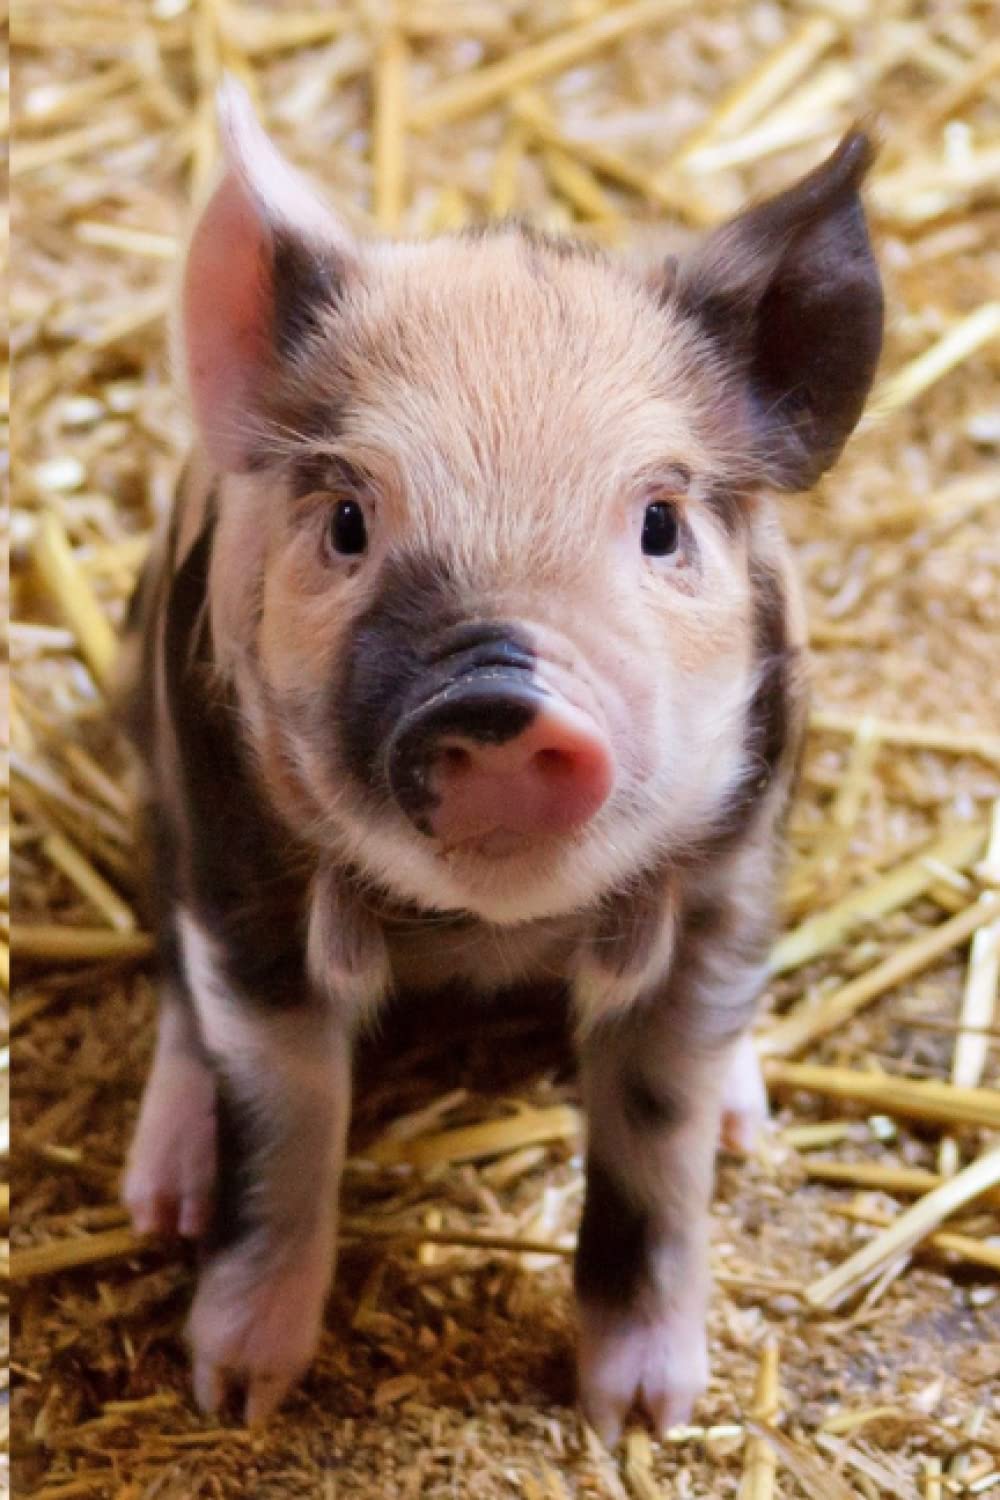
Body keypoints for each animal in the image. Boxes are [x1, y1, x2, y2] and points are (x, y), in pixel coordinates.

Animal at [121, 80, 882, 1437]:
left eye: (660, 525)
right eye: (348, 521)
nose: (495, 698)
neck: (488, 933)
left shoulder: (731, 877)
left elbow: (659, 1133)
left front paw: (643, 1416)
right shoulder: (237, 861)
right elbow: (284, 1115)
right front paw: (236, 1393)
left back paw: (750, 1128)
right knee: (171, 984)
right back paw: (160, 1199)